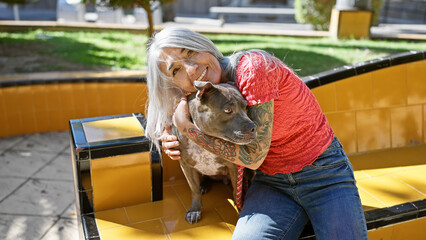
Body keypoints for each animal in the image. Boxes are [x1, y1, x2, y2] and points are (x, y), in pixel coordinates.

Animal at [171, 80, 256, 223]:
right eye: (228, 110)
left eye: (246, 108)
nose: (253, 127)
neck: (205, 139)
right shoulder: (186, 166)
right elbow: (194, 189)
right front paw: (195, 210)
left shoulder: (233, 166)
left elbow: (236, 190)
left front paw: (240, 208)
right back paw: (204, 185)